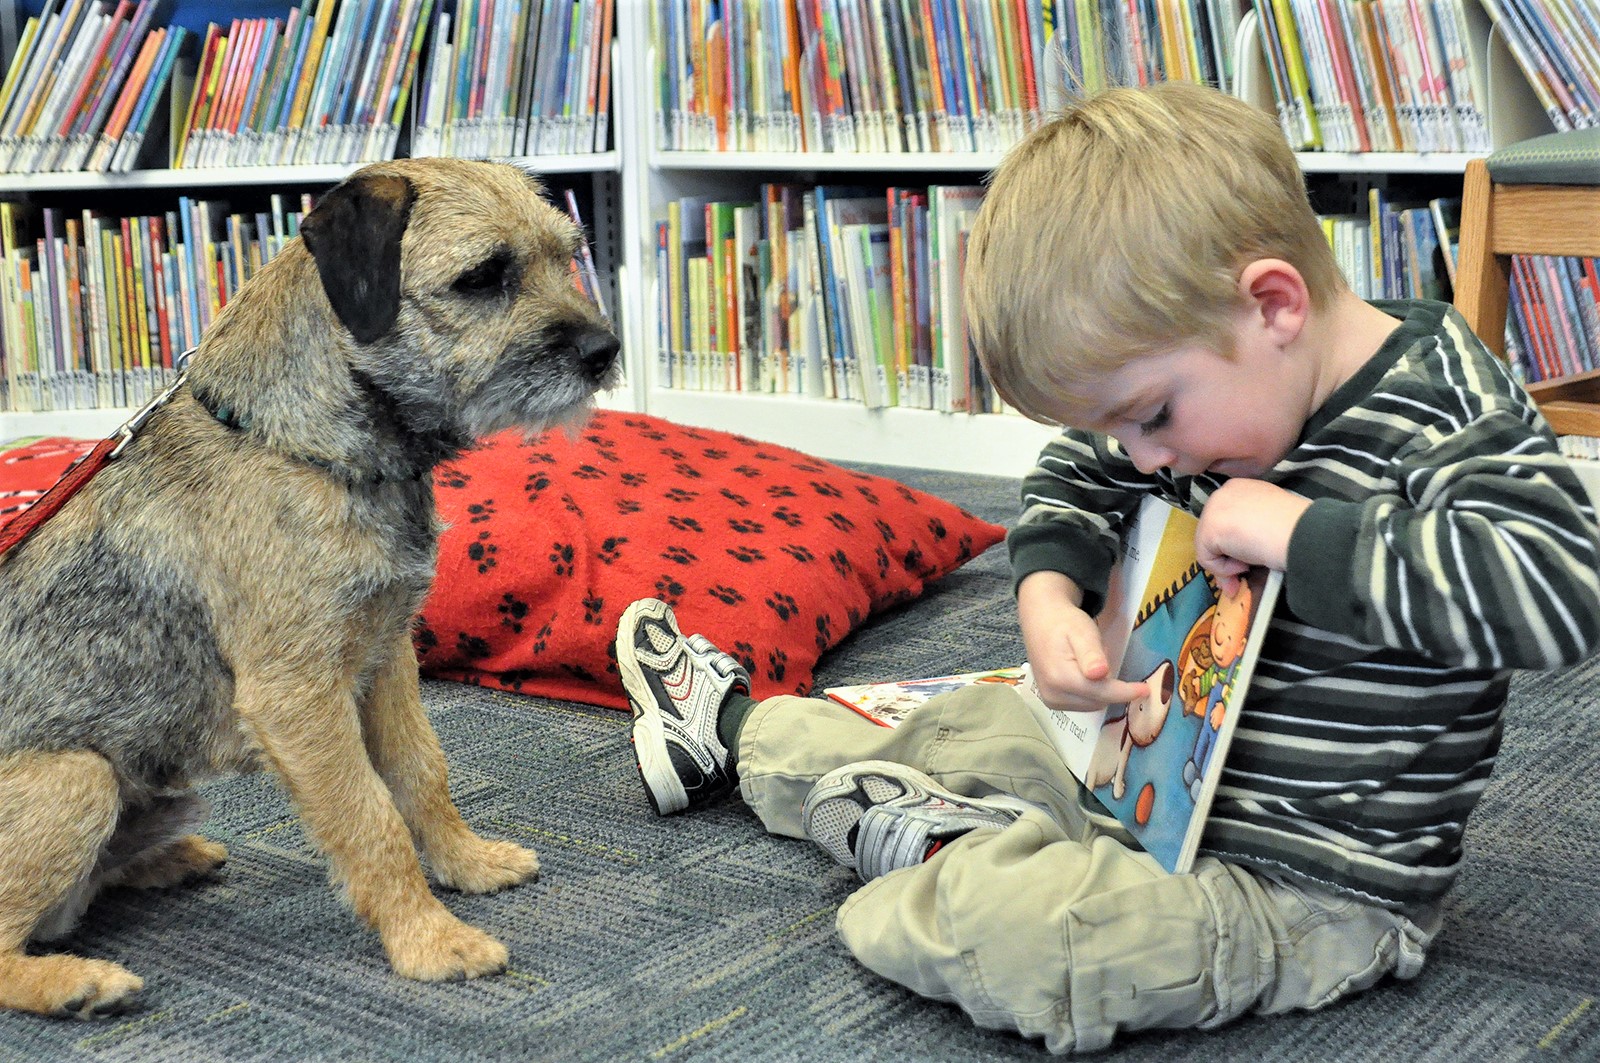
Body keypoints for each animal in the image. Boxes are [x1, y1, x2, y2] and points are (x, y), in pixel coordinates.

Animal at [0, 156, 617, 1011]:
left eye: (569, 254)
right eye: (483, 276)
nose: (605, 349)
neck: (298, 445)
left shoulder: (386, 658)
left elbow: (423, 771)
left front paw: (467, 862)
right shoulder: (299, 698)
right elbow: (371, 818)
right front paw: (431, 941)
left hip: (158, 789)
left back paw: (167, 862)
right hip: (78, 778)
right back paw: (75, 982)